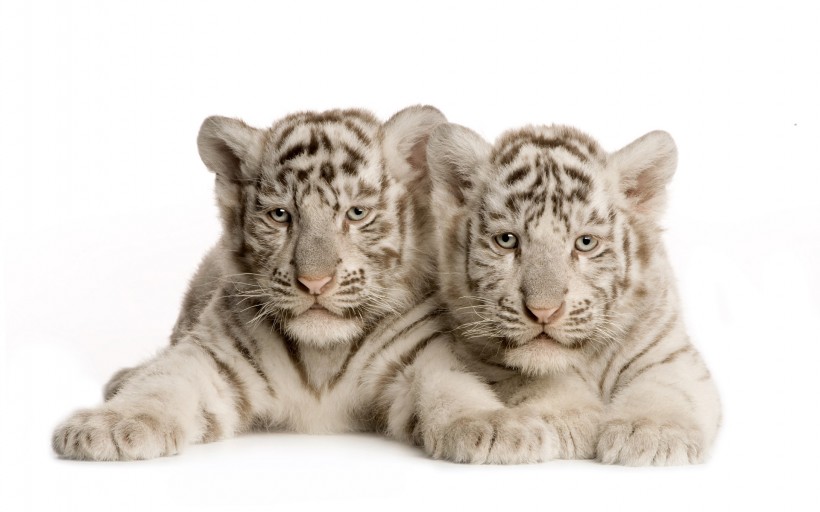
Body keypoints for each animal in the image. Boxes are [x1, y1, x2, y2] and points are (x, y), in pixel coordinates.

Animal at [52, 107, 553, 464]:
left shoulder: (422, 357)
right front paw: (109, 426)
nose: (315, 281)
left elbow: (455, 389)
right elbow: (163, 383)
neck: (322, 356)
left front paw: (497, 427)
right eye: (280, 215)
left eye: (355, 213)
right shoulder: (213, 355)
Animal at [425, 122, 722, 465]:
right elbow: (537, 379)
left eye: (585, 243)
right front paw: (566, 418)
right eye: (507, 240)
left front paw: (653, 433)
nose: (543, 311)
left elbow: (667, 386)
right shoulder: (480, 355)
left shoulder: (670, 351)